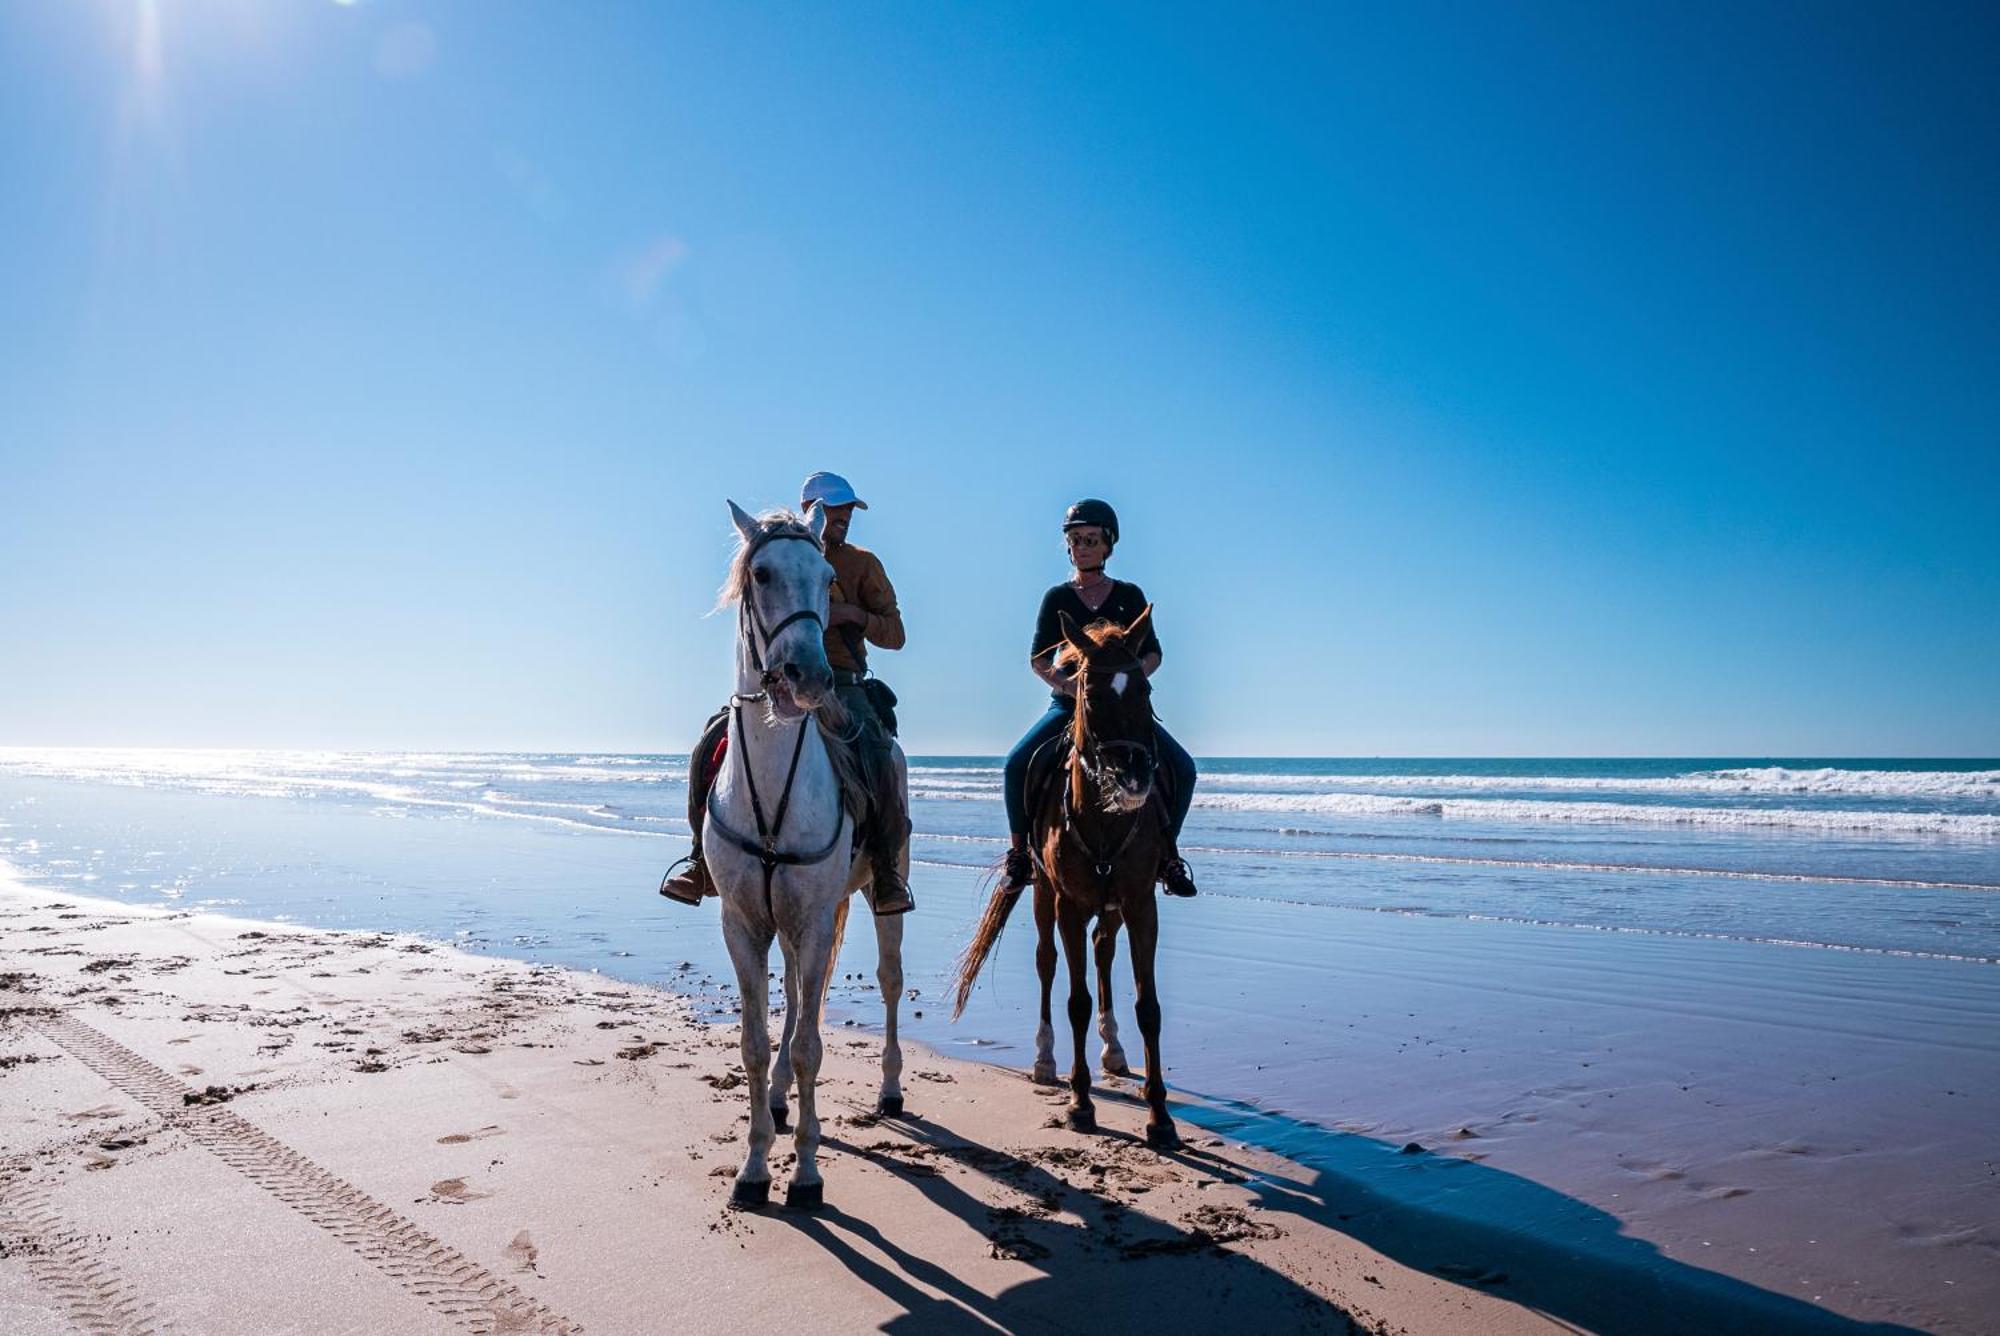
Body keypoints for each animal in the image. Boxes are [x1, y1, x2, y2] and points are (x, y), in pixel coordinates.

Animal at [704, 500, 908, 1208]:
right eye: (761, 574)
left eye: (827, 581)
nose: (810, 678)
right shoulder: (742, 924)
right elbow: (758, 1043)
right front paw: (753, 1168)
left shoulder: (817, 922)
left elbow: (808, 1046)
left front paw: (808, 1175)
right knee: (793, 996)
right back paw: (779, 1101)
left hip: (877, 896)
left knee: (888, 982)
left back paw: (891, 1090)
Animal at [948, 604, 1176, 1152]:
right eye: (1089, 693)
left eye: (1145, 691)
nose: (1136, 778)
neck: (1104, 817)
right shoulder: (1069, 904)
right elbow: (1075, 1001)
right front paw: (1080, 1105)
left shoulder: (1141, 903)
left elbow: (1148, 1006)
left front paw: (1160, 1116)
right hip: (1043, 896)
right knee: (1048, 965)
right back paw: (1046, 1060)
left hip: (1111, 908)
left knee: (1103, 952)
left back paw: (1114, 1050)